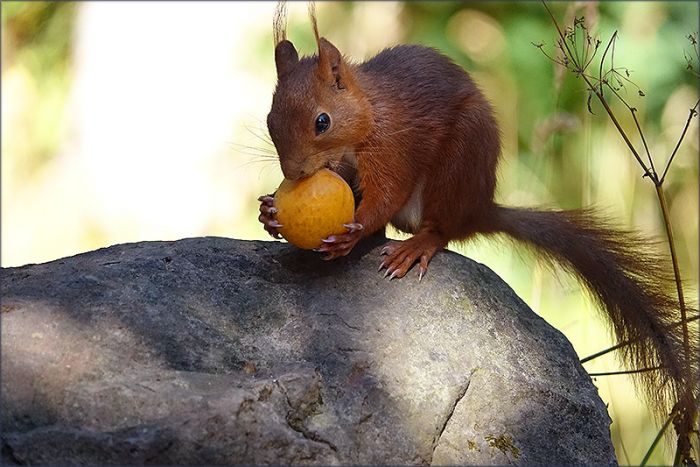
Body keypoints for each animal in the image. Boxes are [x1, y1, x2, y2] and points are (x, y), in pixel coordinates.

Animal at [257, 1, 697, 451]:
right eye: (271, 119)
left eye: (322, 122)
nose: (294, 174)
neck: (367, 114)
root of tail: (480, 207)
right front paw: (270, 211)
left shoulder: (392, 146)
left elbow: (384, 197)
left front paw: (353, 231)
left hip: (457, 167)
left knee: (441, 230)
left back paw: (415, 246)